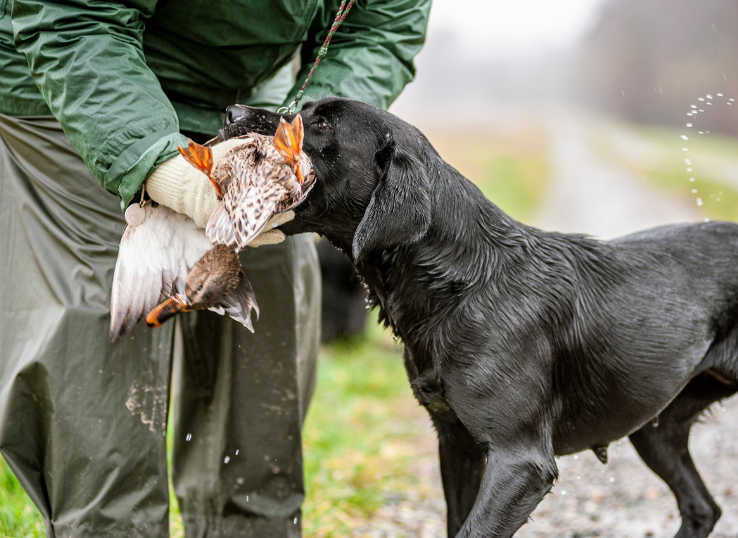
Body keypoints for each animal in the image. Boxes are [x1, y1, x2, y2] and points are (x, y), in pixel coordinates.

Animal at [221, 97, 736, 536]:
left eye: (323, 125)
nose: (230, 112)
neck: (462, 286)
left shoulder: (520, 461)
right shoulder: (457, 445)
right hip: (656, 427)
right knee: (702, 508)